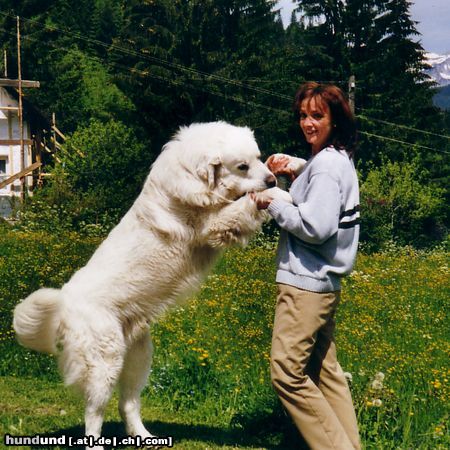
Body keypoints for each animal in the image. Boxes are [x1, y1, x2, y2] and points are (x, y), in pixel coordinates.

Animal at [14, 121, 290, 448]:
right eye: (242, 166)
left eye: (259, 158)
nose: (271, 176)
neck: (190, 175)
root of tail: (65, 302)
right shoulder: (215, 224)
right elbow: (248, 203)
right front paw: (281, 194)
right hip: (105, 362)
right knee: (94, 412)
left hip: (138, 356)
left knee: (128, 404)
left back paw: (144, 436)